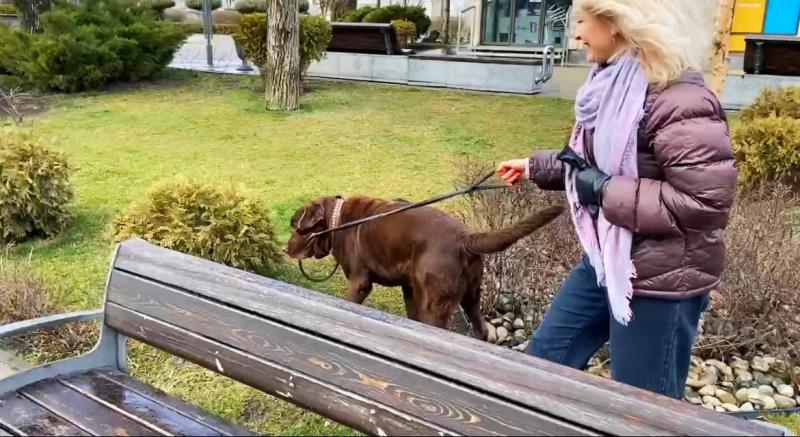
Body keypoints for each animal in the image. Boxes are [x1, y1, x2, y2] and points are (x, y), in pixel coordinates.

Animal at [286, 196, 564, 338]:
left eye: (296, 228)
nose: (285, 249)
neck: (338, 221)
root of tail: (465, 238)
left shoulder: (359, 283)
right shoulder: (409, 287)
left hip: (436, 303)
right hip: (471, 296)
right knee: (481, 330)